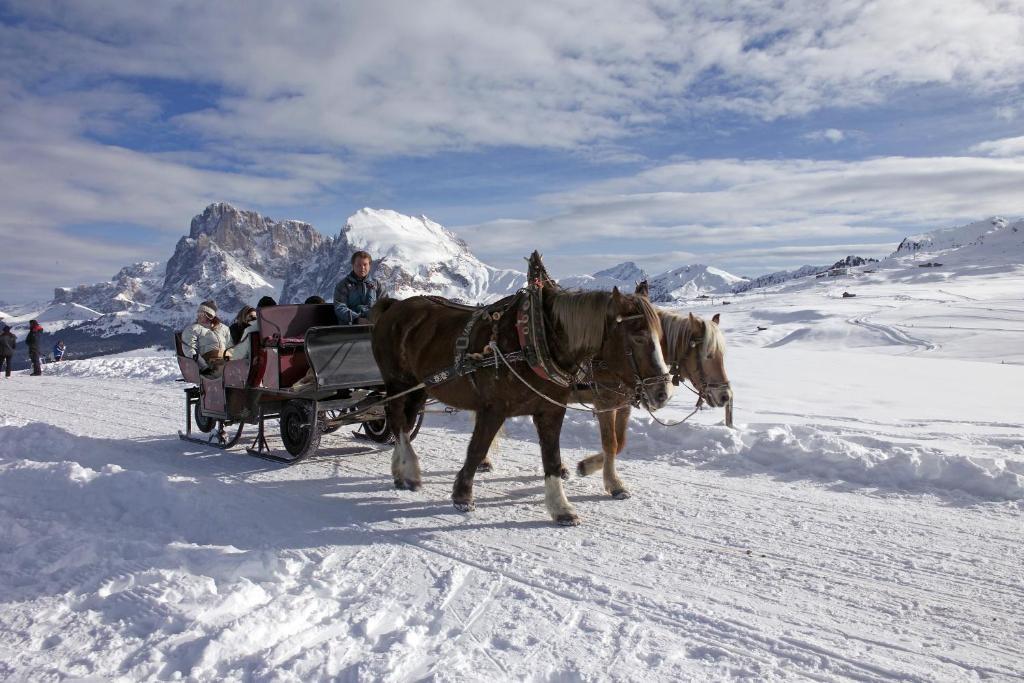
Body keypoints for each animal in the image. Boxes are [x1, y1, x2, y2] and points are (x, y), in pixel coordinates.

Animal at [372, 286, 675, 528]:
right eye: (638, 336)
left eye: (661, 336)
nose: (662, 393)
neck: (536, 343)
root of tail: (394, 305)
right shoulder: (494, 409)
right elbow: (476, 448)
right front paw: (462, 495)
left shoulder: (553, 410)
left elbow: (553, 457)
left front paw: (561, 507)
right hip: (398, 383)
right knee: (397, 420)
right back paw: (407, 472)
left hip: (419, 388)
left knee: (406, 420)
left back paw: (402, 470)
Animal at [573, 280, 733, 499]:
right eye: (708, 355)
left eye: (722, 355)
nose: (726, 396)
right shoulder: (604, 404)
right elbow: (610, 443)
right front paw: (614, 484)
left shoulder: (623, 405)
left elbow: (620, 443)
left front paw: (586, 466)